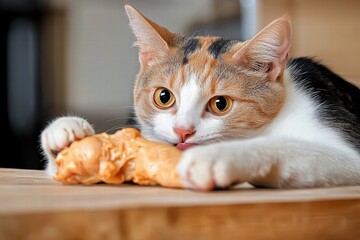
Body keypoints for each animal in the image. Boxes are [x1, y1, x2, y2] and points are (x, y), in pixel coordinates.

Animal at [39, 4, 360, 190]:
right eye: (164, 97)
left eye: (221, 104)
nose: (183, 131)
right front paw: (66, 136)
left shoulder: (348, 154)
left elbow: (293, 148)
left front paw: (217, 157)